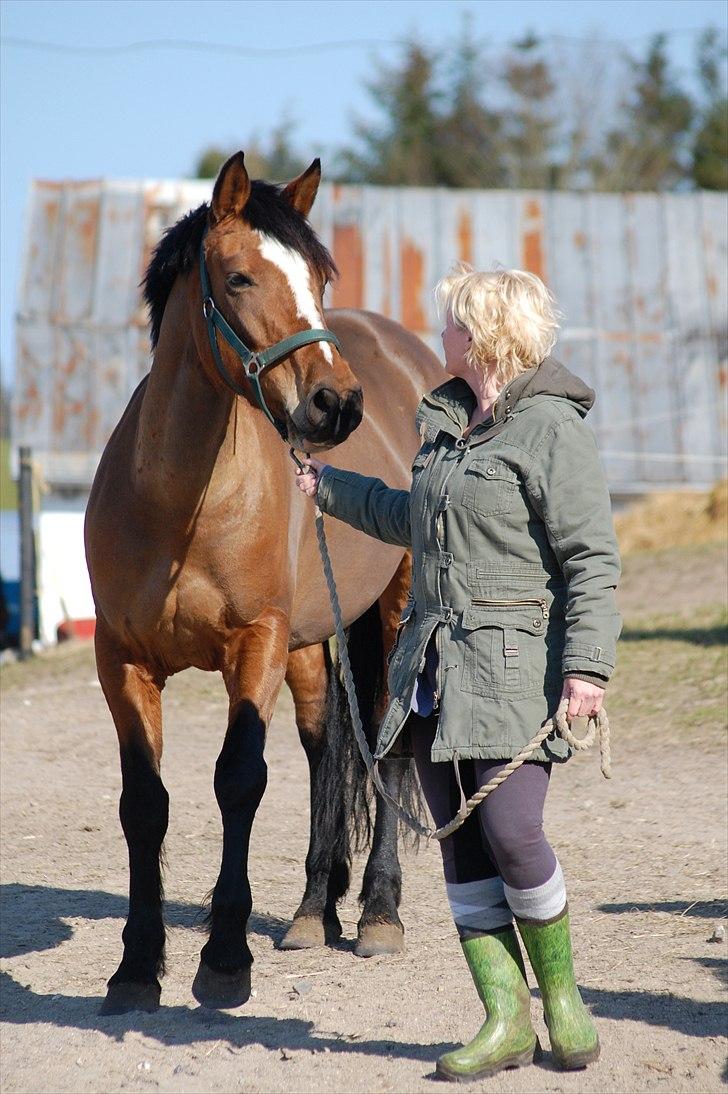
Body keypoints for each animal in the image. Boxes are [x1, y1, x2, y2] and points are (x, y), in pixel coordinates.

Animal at [87, 149, 442, 1010]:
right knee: (327, 747)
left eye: (318, 276)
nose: (335, 403)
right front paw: (136, 966)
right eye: (241, 277)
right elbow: (144, 804)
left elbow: (240, 781)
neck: (179, 506)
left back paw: (378, 913)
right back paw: (316, 910)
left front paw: (223, 959)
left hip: (395, 612)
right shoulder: (121, 661)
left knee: (388, 748)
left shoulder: (257, 645)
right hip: (313, 641)